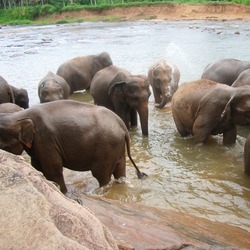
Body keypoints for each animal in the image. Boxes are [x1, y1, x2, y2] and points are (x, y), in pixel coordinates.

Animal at [0, 99, 146, 193]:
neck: (18, 115)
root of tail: (122, 125)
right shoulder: (38, 145)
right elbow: (37, 167)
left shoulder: (46, 139)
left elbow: (52, 169)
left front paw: (64, 192)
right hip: (116, 147)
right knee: (119, 170)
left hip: (107, 147)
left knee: (101, 174)